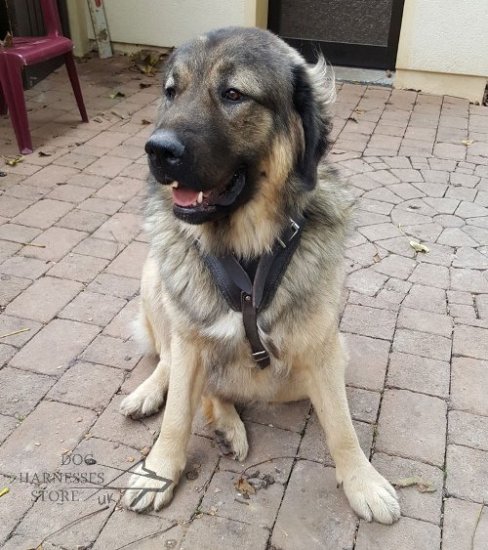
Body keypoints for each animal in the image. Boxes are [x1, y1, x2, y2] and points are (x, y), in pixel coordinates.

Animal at [121, 27, 400, 528]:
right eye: (171, 92)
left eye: (233, 94)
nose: (158, 150)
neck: (246, 251)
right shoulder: (190, 339)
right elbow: (177, 415)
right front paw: (159, 469)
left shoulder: (325, 351)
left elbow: (342, 424)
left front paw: (362, 481)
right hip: (157, 278)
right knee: (171, 363)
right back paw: (157, 396)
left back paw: (227, 424)